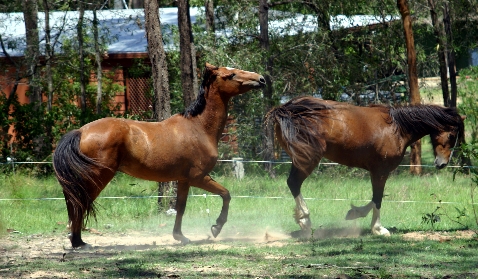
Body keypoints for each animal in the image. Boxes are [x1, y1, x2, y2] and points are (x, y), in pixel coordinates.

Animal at [54, 63, 268, 247]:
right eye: (231, 75)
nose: (261, 79)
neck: (198, 127)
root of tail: (81, 131)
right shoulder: (198, 177)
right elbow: (226, 194)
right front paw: (216, 227)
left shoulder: (184, 180)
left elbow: (180, 207)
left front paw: (180, 236)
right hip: (98, 177)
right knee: (80, 204)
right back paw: (78, 243)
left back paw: (77, 240)